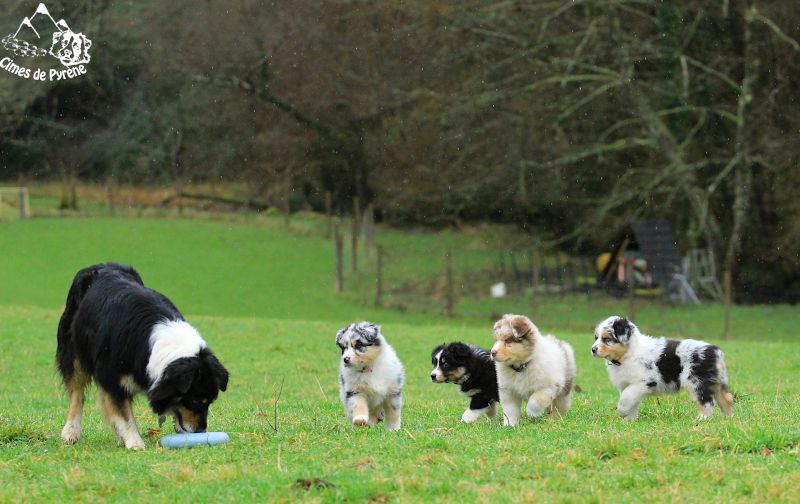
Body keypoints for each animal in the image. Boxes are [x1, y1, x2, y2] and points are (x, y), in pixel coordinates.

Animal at [55, 264, 228, 448]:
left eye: (210, 402)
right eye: (195, 401)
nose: (201, 431)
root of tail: (100, 265)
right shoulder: (113, 378)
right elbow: (124, 414)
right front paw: (135, 443)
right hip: (73, 353)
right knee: (77, 394)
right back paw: (71, 431)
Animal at [592, 316, 736, 422]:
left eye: (606, 339)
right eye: (596, 337)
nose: (593, 349)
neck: (629, 353)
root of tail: (715, 351)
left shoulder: (644, 382)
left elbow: (626, 397)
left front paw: (622, 411)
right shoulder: (628, 385)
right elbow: (632, 402)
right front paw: (628, 420)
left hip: (697, 381)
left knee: (706, 401)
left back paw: (702, 418)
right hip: (716, 382)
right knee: (727, 399)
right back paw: (728, 419)